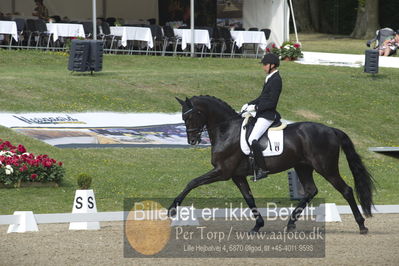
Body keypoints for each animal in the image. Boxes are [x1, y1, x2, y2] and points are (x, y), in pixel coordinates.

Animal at [169, 96, 376, 234]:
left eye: (192, 116)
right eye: (183, 118)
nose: (192, 140)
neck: (227, 130)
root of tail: (332, 130)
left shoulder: (223, 171)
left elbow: (192, 182)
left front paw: (172, 209)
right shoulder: (237, 175)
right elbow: (249, 198)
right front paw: (257, 225)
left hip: (326, 168)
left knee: (346, 190)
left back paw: (362, 225)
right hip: (303, 167)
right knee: (311, 191)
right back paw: (290, 224)